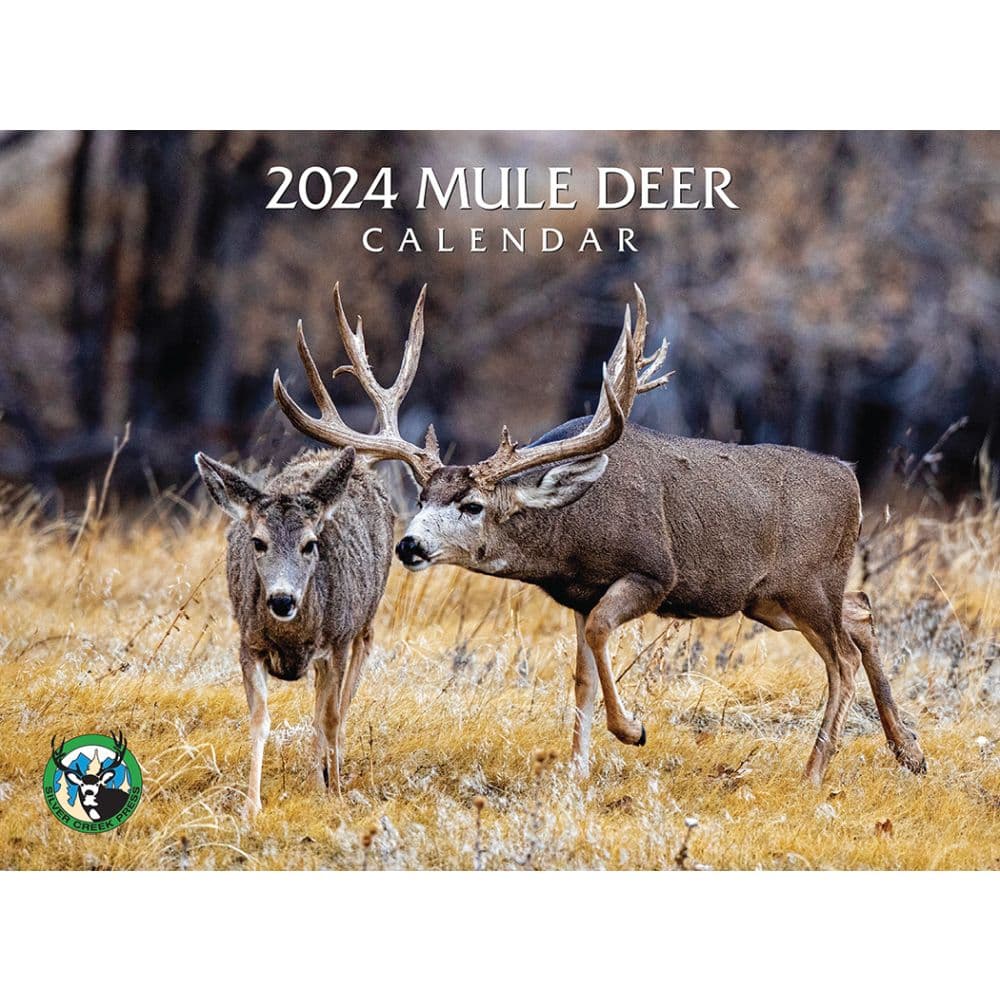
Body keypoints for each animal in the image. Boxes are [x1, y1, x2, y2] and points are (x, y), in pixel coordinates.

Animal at [196, 291, 432, 817]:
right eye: (258, 542)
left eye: (311, 544)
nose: (282, 599)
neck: (292, 639)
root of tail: (347, 458)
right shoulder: (246, 642)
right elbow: (261, 719)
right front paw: (251, 806)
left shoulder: (338, 640)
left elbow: (330, 716)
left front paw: (333, 793)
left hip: (364, 622)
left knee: (341, 703)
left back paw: (329, 774)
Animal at [274, 283, 927, 785]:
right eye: (422, 498)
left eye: (472, 504)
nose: (409, 545)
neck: (572, 536)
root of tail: (853, 480)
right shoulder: (580, 595)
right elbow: (583, 677)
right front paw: (577, 769)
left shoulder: (652, 572)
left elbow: (601, 635)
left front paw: (632, 729)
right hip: (774, 599)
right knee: (862, 611)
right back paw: (909, 751)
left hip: (805, 583)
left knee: (842, 656)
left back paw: (814, 772)